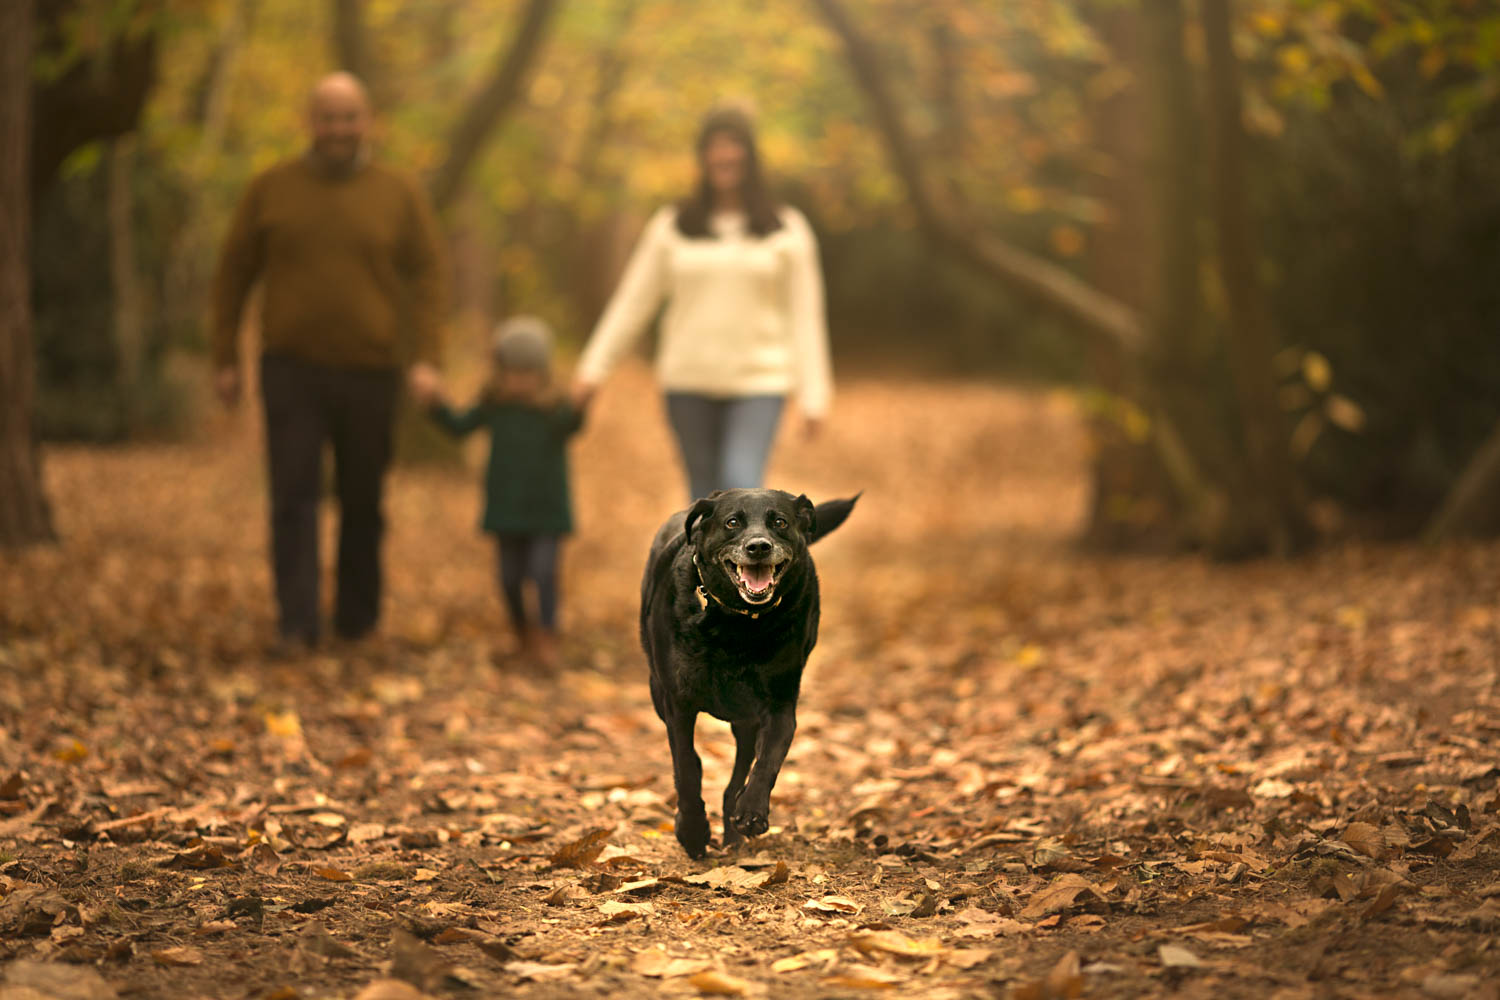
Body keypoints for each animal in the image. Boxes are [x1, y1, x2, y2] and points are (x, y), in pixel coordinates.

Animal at [639, 488, 864, 857]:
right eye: (732, 522)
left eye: (780, 522)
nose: (758, 546)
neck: (738, 624)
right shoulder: (678, 704)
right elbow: (686, 767)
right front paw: (692, 831)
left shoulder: (779, 705)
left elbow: (768, 759)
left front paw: (752, 811)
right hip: (660, 695)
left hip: (745, 720)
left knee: (739, 771)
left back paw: (734, 830)